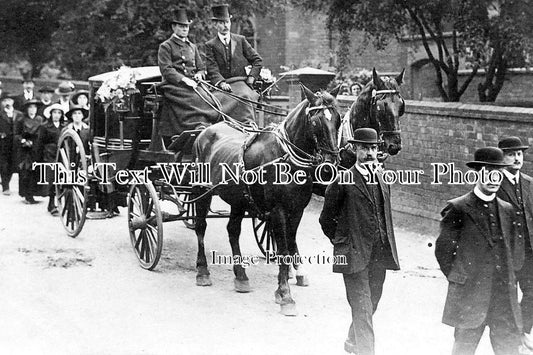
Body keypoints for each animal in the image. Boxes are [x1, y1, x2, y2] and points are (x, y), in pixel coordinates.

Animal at [193, 84, 338, 318]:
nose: (330, 164)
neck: (285, 158)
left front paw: (283, 286)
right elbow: (284, 249)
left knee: (232, 230)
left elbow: (289, 244)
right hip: (202, 191)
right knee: (200, 226)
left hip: (238, 199)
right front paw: (286, 295)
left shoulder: (297, 210)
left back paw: (241, 275)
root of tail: (206, 131)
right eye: (316, 121)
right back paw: (202, 270)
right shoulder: (278, 211)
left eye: (338, 119)